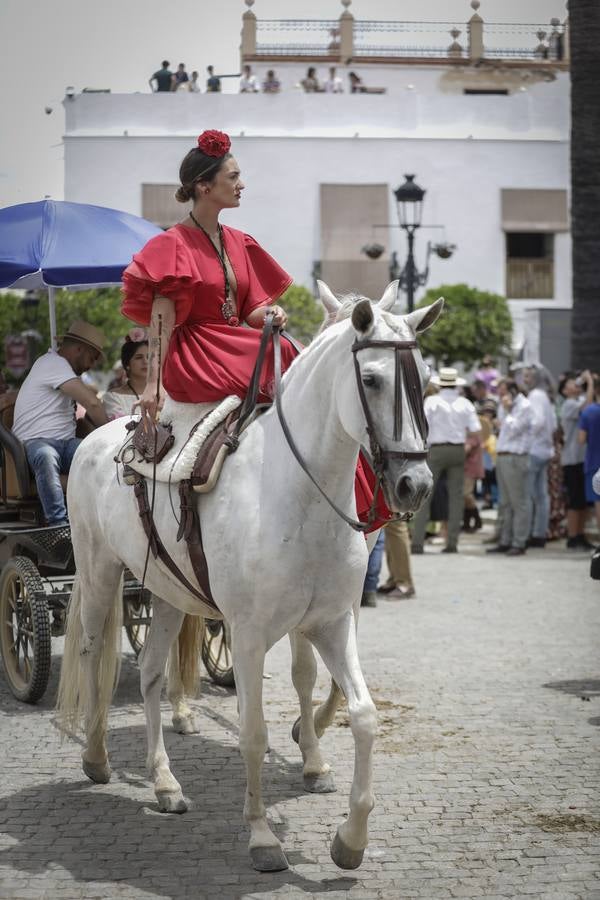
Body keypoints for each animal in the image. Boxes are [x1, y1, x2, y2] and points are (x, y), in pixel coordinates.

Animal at [57, 282, 440, 872]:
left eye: (423, 375)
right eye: (372, 379)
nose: (414, 484)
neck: (300, 493)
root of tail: (99, 436)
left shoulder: (331, 622)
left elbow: (362, 714)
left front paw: (349, 836)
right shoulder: (251, 635)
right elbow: (254, 733)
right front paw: (261, 835)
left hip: (168, 592)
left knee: (151, 673)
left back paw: (165, 782)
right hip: (100, 574)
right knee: (92, 654)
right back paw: (96, 757)